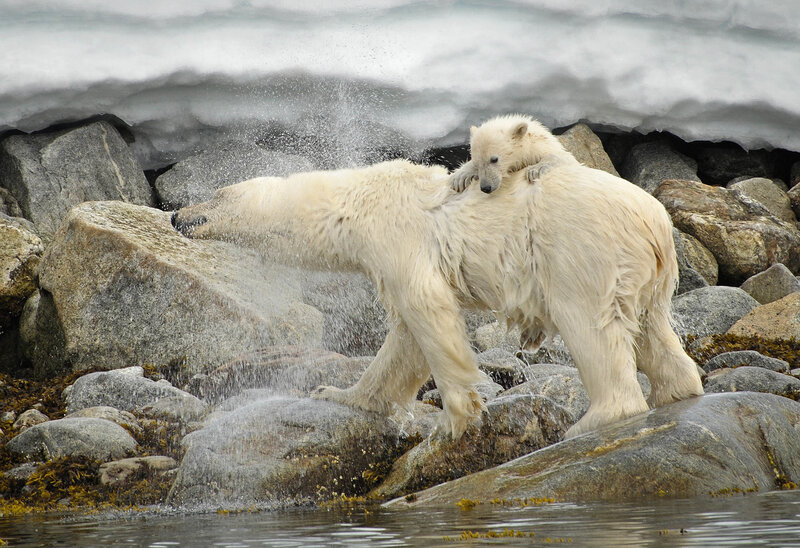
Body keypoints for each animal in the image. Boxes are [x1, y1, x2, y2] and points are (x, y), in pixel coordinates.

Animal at [172, 149, 704, 439]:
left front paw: (456, 418)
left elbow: (428, 312)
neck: (356, 200)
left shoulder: (397, 237)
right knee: (651, 329)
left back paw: (594, 420)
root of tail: (656, 221)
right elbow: (403, 342)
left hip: (582, 251)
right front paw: (340, 393)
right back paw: (678, 389)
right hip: (642, 273)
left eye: (215, 194)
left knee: (592, 327)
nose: (176, 215)